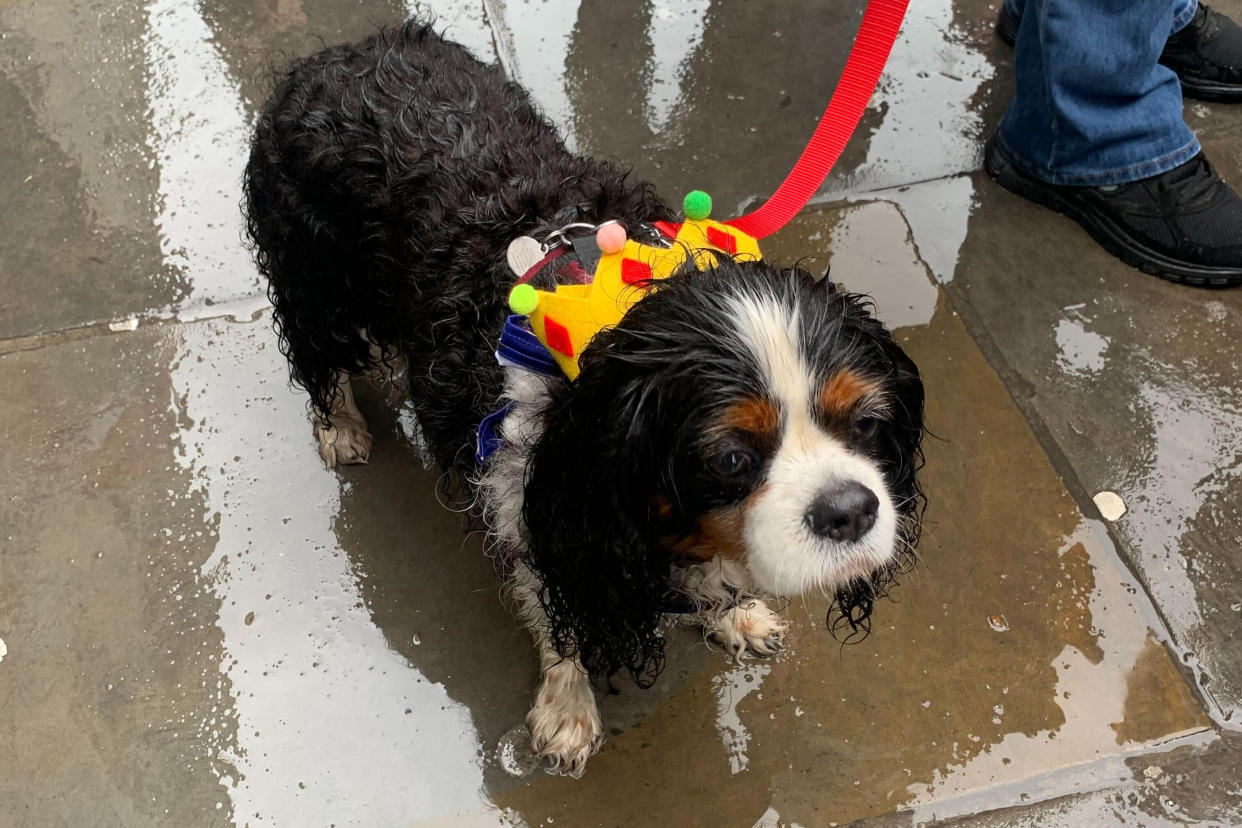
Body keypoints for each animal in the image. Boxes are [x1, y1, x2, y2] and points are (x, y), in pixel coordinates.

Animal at [244, 21, 924, 784]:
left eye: (867, 421)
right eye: (729, 457)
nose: (852, 509)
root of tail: (342, 51)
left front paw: (736, 614)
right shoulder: (539, 498)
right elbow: (557, 613)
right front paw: (567, 710)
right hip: (312, 269)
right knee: (317, 349)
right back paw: (340, 426)